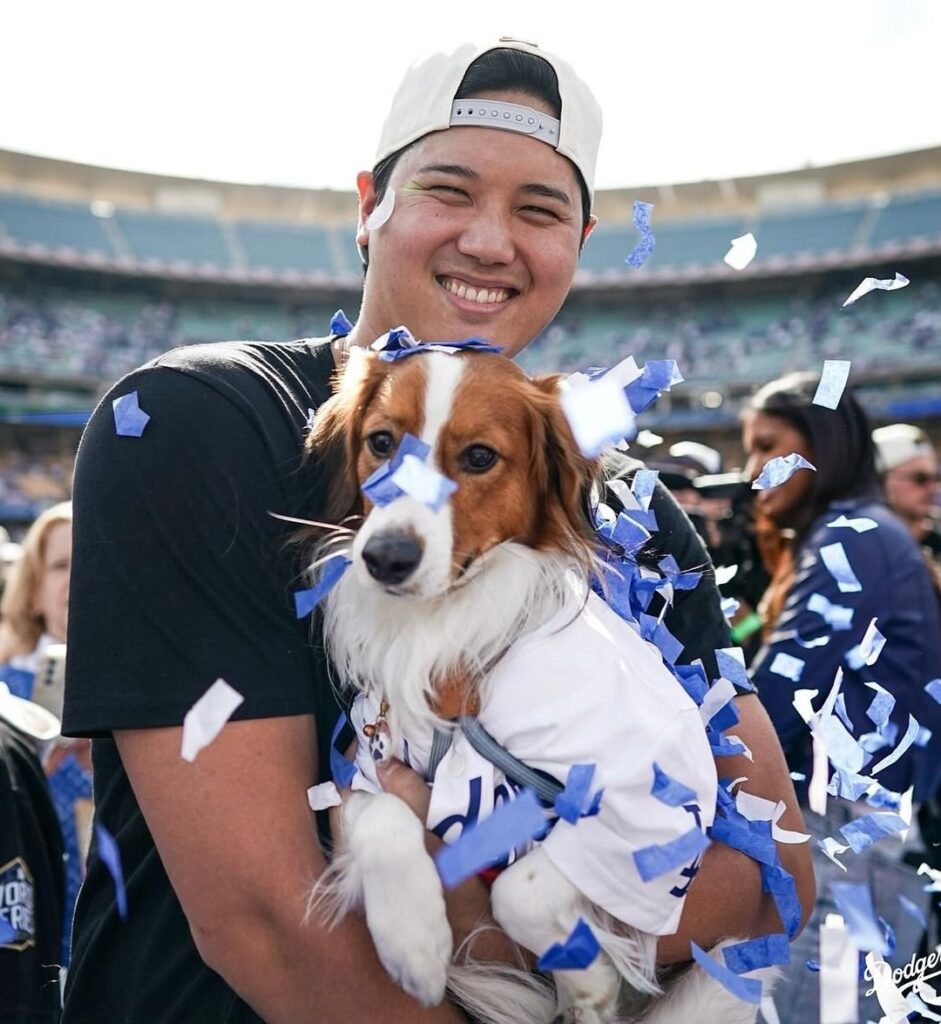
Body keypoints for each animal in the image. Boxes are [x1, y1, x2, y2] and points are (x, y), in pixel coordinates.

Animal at [305, 346, 770, 1024]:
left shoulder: (661, 801)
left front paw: (587, 978)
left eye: (479, 457)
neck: (452, 634)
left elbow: (521, 889)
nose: (384, 558)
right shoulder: (369, 760)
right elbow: (378, 817)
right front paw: (413, 943)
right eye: (381, 442)